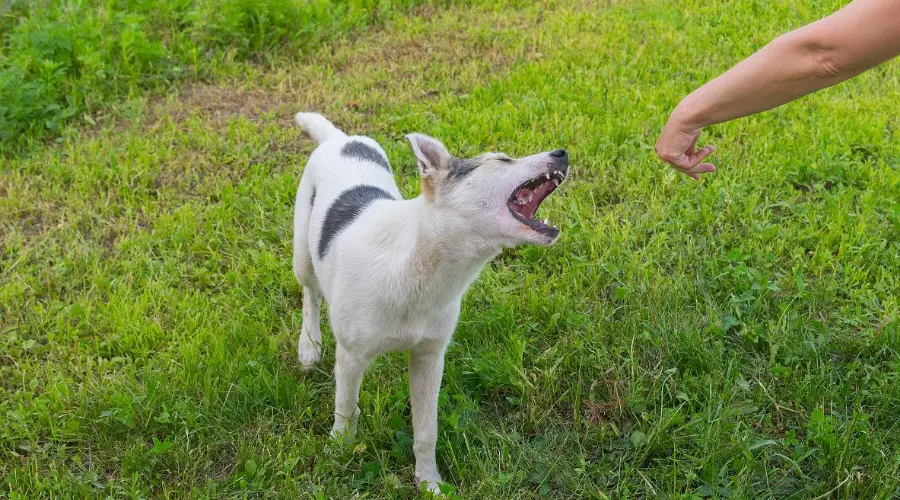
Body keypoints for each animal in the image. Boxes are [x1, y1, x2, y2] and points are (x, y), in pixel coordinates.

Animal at [292, 111, 568, 490]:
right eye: (501, 160)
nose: (563, 153)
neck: (417, 263)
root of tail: (340, 139)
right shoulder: (349, 357)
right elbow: (345, 407)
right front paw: (340, 450)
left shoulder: (429, 358)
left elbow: (427, 429)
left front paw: (429, 481)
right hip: (302, 253)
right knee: (310, 294)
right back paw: (309, 345)